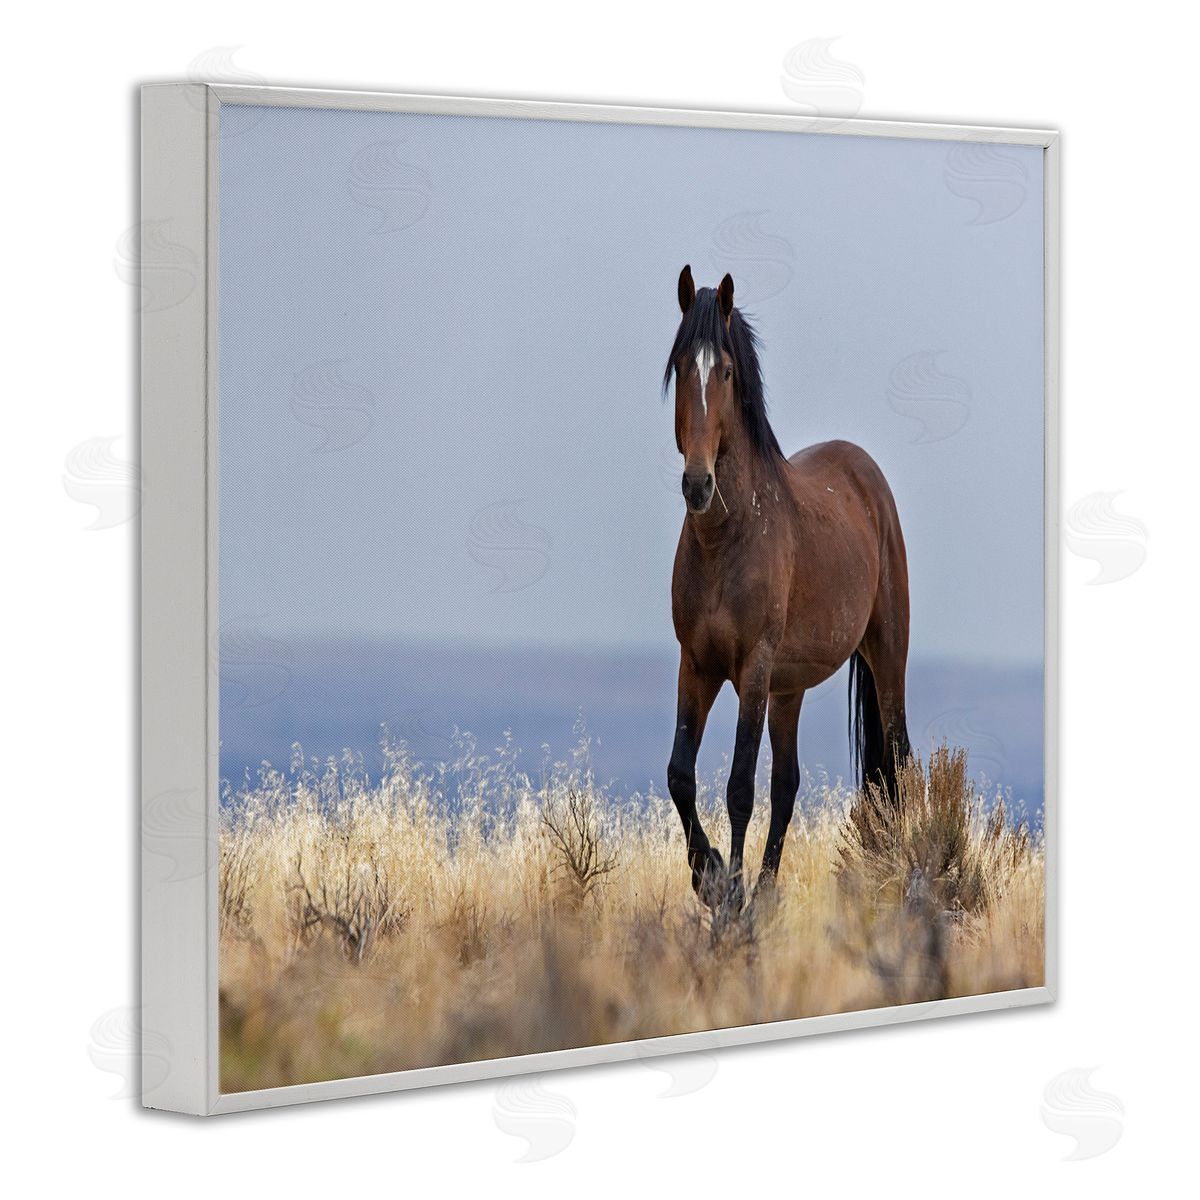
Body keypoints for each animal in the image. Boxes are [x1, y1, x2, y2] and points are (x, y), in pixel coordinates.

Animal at [664, 265, 913, 913]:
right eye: (681, 366)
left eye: (726, 371)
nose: (697, 484)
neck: (727, 540)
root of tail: (867, 475)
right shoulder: (695, 665)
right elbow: (680, 774)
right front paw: (710, 875)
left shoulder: (752, 667)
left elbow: (738, 787)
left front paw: (730, 891)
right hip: (789, 688)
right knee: (787, 783)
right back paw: (770, 891)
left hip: (885, 656)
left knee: (898, 760)